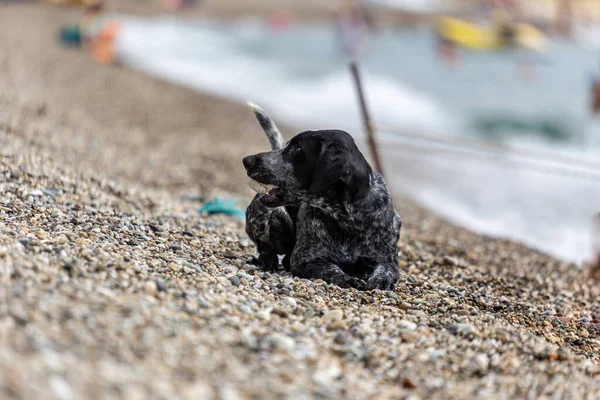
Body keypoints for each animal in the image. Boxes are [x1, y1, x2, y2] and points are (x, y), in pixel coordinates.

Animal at [241, 104, 400, 290]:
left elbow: (386, 270)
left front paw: (380, 279)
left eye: (297, 148)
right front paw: (346, 278)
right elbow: (330, 269)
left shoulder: (388, 261)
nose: (246, 160)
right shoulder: (304, 261)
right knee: (265, 247)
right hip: (260, 213)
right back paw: (267, 260)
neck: (348, 221)